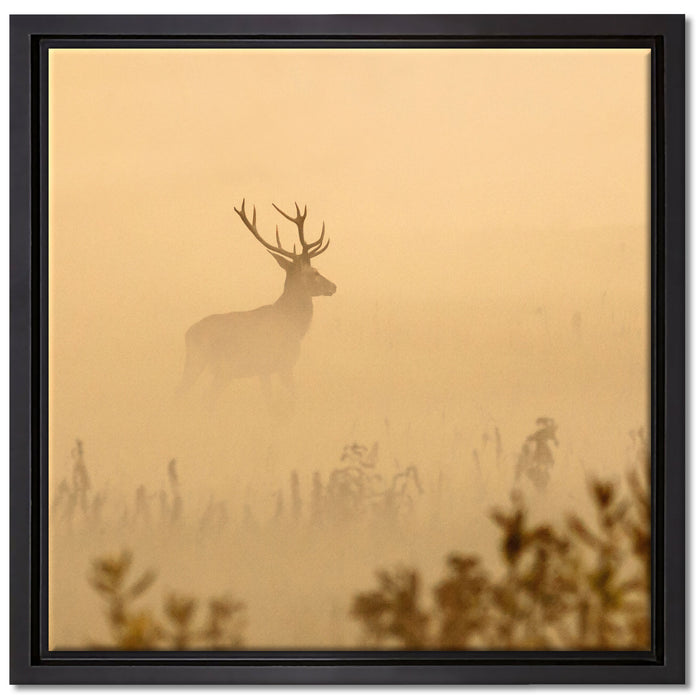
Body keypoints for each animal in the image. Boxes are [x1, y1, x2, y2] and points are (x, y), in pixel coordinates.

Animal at [178, 199, 336, 403]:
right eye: (315, 272)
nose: (333, 286)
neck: (293, 324)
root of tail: (188, 334)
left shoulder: (264, 371)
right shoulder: (283, 364)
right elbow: (289, 399)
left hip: (214, 369)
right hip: (207, 363)